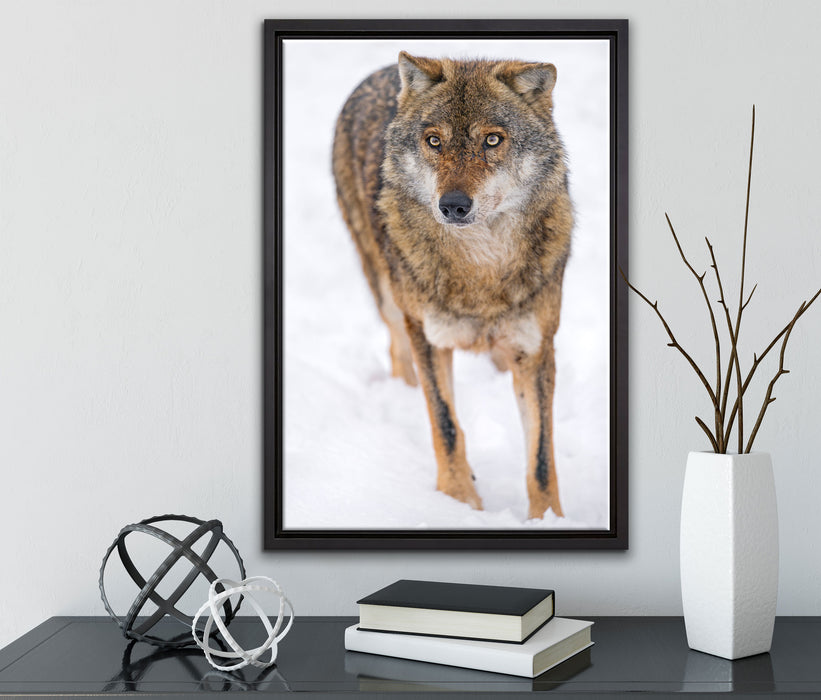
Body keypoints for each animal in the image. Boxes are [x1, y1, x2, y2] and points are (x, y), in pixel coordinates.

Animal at [332, 52, 573, 519]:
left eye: (493, 140)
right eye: (434, 141)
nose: (454, 205)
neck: (481, 270)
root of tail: (382, 72)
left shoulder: (537, 349)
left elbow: (540, 457)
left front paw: (548, 520)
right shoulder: (430, 338)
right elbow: (445, 425)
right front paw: (459, 502)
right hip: (389, 296)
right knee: (398, 352)